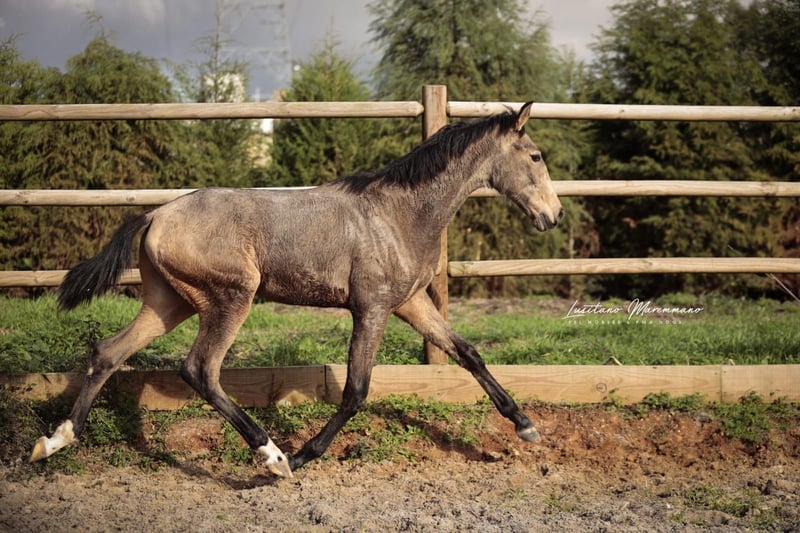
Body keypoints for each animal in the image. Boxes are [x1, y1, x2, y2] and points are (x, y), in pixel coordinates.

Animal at [30, 102, 563, 478]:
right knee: (199, 369)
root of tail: (156, 213)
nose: (553, 216)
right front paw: (307, 454)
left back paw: (54, 441)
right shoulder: (371, 308)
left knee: (108, 351)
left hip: (169, 301)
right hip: (231, 298)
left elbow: (468, 353)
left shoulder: (409, 302)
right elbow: (355, 391)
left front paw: (526, 425)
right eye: (536, 156)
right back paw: (273, 456)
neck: (401, 214)